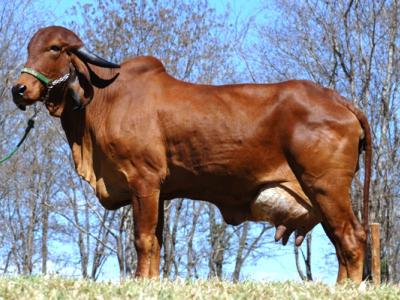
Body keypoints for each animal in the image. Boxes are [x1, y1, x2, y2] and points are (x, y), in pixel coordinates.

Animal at [10, 26, 370, 284]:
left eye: (54, 48)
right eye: (30, 48)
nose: (19, 89)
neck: (103, 100)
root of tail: (338, 100)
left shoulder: (143, 179)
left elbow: (142, 239)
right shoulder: (157, 190)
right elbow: (156, 241)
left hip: (326, 187)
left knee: (352, 238)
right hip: (322, 195)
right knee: (340, 240)